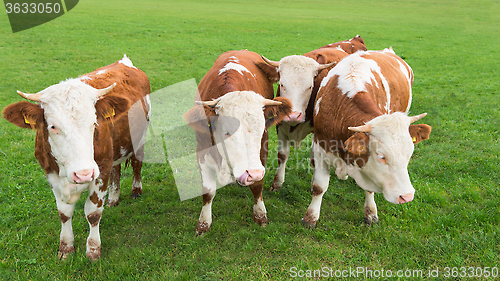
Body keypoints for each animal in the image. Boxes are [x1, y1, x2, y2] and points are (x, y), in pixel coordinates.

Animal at [2, 55, 150, 260]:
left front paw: (93, 250)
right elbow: (64, 213)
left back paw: (136, 190)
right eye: (53, 126)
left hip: (139, 139)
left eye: (94, 123)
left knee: (137, 163)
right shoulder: (51, 174)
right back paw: (113, 198)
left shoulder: (100, 171)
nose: (83, 174)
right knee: (117, 169)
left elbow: (93, 213)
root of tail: (124, 62)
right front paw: (66, 248)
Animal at [186, 50, 292, 234]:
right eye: (226, 132)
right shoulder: (202, 151)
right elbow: (208, 191)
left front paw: (260, 215)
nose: (252, 173)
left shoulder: (262, 152)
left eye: (261, 129)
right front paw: (203, 224)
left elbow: (257, 186)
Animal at [262, 34, 368, 188]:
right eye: (282, 84)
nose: (294, 116)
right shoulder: (281, 125)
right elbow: (282, 155)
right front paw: (277, 183)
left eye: (310, 87)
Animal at [306, 48, 432, 226]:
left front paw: (371, 213)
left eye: (409, 154)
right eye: (381, 156)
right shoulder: (320, 150)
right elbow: (319, 187)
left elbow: (369, 188)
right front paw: (310, 217)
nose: (406, 197)